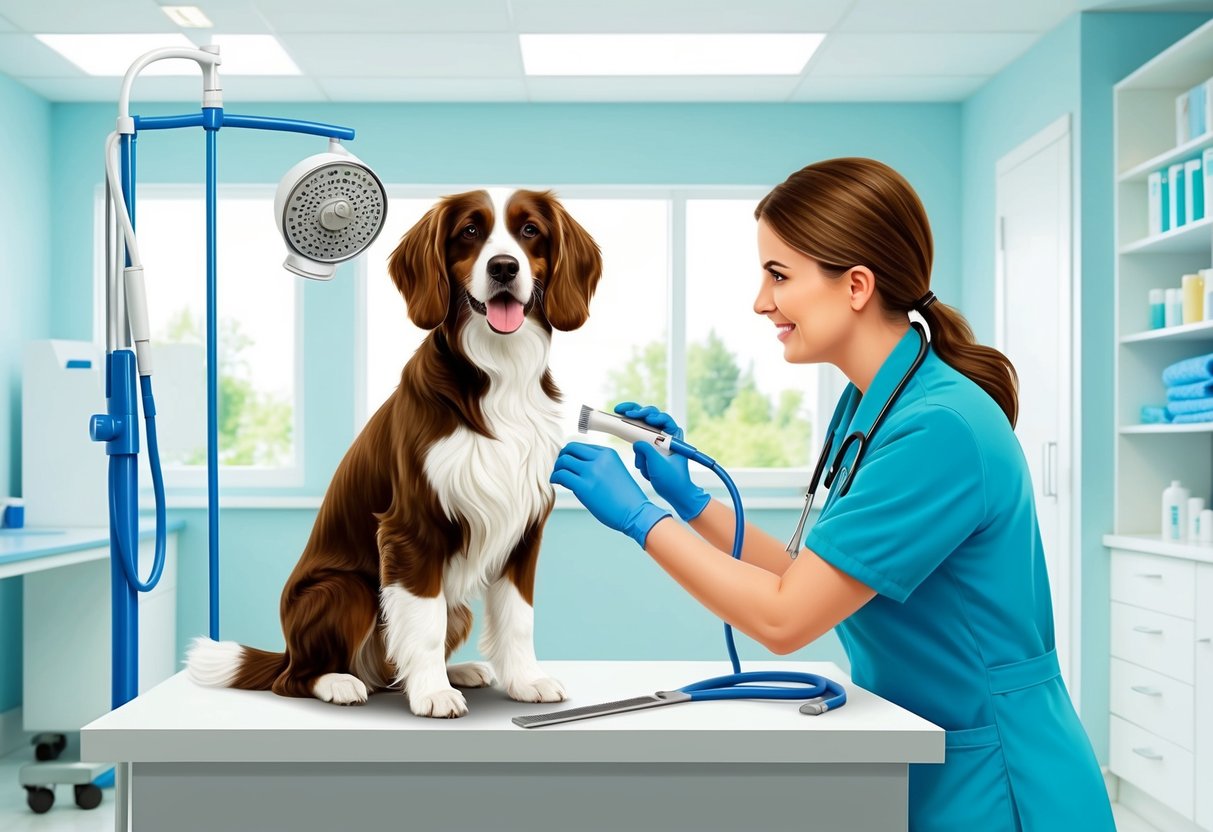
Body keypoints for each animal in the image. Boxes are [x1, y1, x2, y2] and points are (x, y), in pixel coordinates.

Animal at [185, 187, 601, 717]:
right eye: (470, 231)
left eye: (530, 231)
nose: (505, 267)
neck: (498, 375)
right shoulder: (411, 530)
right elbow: (423, 624)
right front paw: (433, 694)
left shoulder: (524, 529)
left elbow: (517, 616)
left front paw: (526, 681)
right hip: (347, 589)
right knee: (294, 678)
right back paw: (340, 682)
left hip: (453, 607)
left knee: (389, 668)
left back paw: (457, 671)